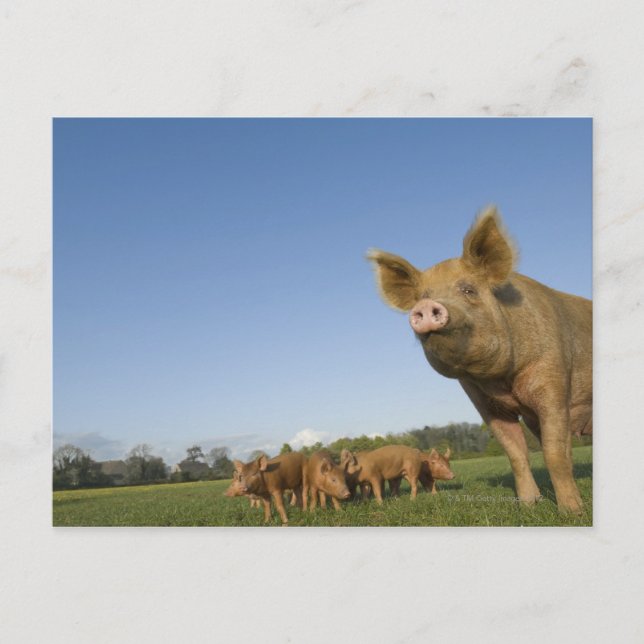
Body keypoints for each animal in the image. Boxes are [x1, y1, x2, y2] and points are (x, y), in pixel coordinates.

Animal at [368, 207, 592, 513]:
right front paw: (528, 506)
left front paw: (572, 512)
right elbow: (516, 453)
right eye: (423, 296)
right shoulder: (484, 401)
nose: (425, 306)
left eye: (468, 290)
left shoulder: (555, 381)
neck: (502, 381)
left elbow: (554, 453)